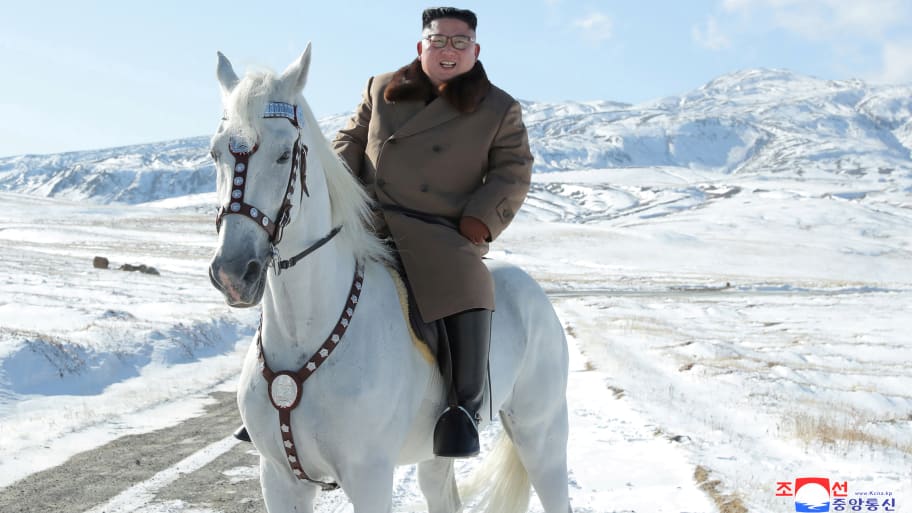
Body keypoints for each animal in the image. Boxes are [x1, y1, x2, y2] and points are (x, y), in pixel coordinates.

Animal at [208, 45, 568, 512]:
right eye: (215, 153)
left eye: (285, 154)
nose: (234, 272)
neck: (303, 330)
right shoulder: (280, 479)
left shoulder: (368, 476)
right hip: (437, 456)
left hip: (541, 431)